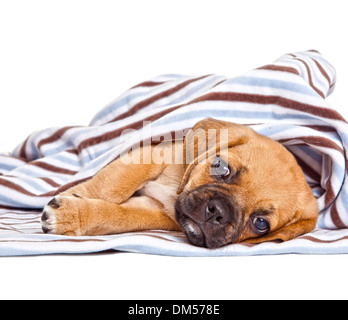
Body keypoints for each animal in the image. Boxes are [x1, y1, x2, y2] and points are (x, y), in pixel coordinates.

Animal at [40, 119, 318, 249]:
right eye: (221, 168)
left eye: (261, 223)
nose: (217, 213)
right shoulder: (148, 155)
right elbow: (112, 185)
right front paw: (76, 194)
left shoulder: (157, 212)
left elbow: (118, 216)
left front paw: (74, 215)